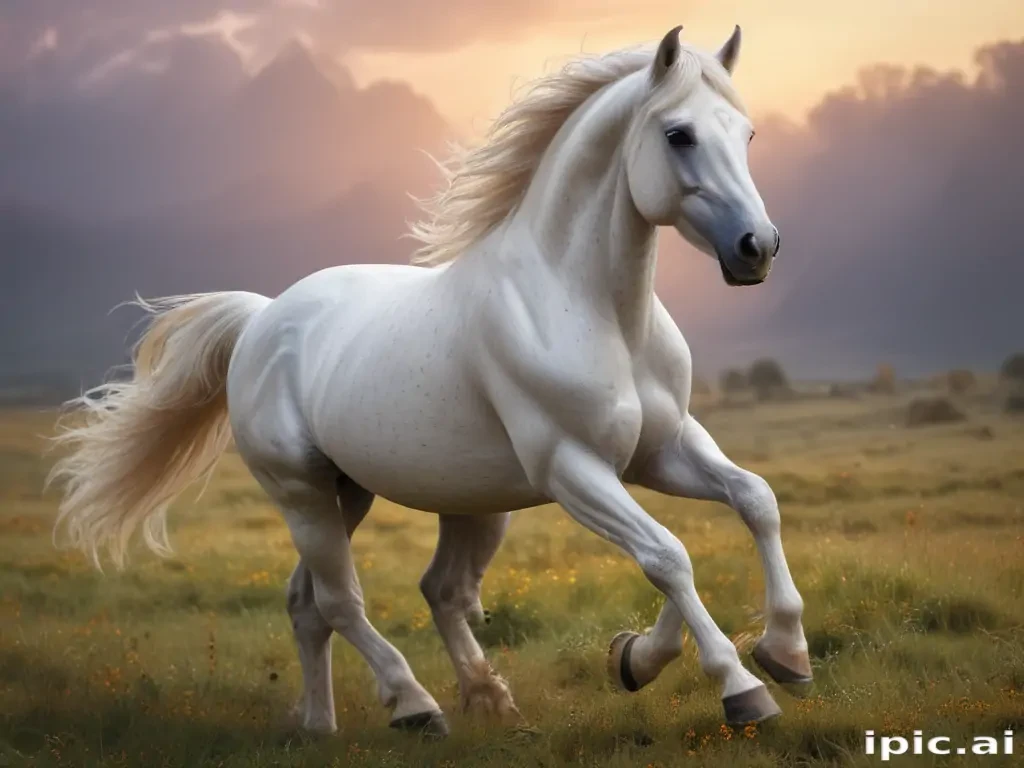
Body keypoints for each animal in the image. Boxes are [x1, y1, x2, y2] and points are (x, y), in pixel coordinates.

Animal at [49, 25, 811, 738]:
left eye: (745, 132)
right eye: (678, 134)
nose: (759, 248)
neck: (593, 309)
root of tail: (263, 318)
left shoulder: (662, 451)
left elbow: (755, 500)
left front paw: (764, 652)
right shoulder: (574, 469)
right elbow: (667, 555)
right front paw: (740, 685)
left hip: (367, 494)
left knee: (356, 599)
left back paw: (362, 717)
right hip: (302, 493)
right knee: (341, 602)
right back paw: (415, 705)